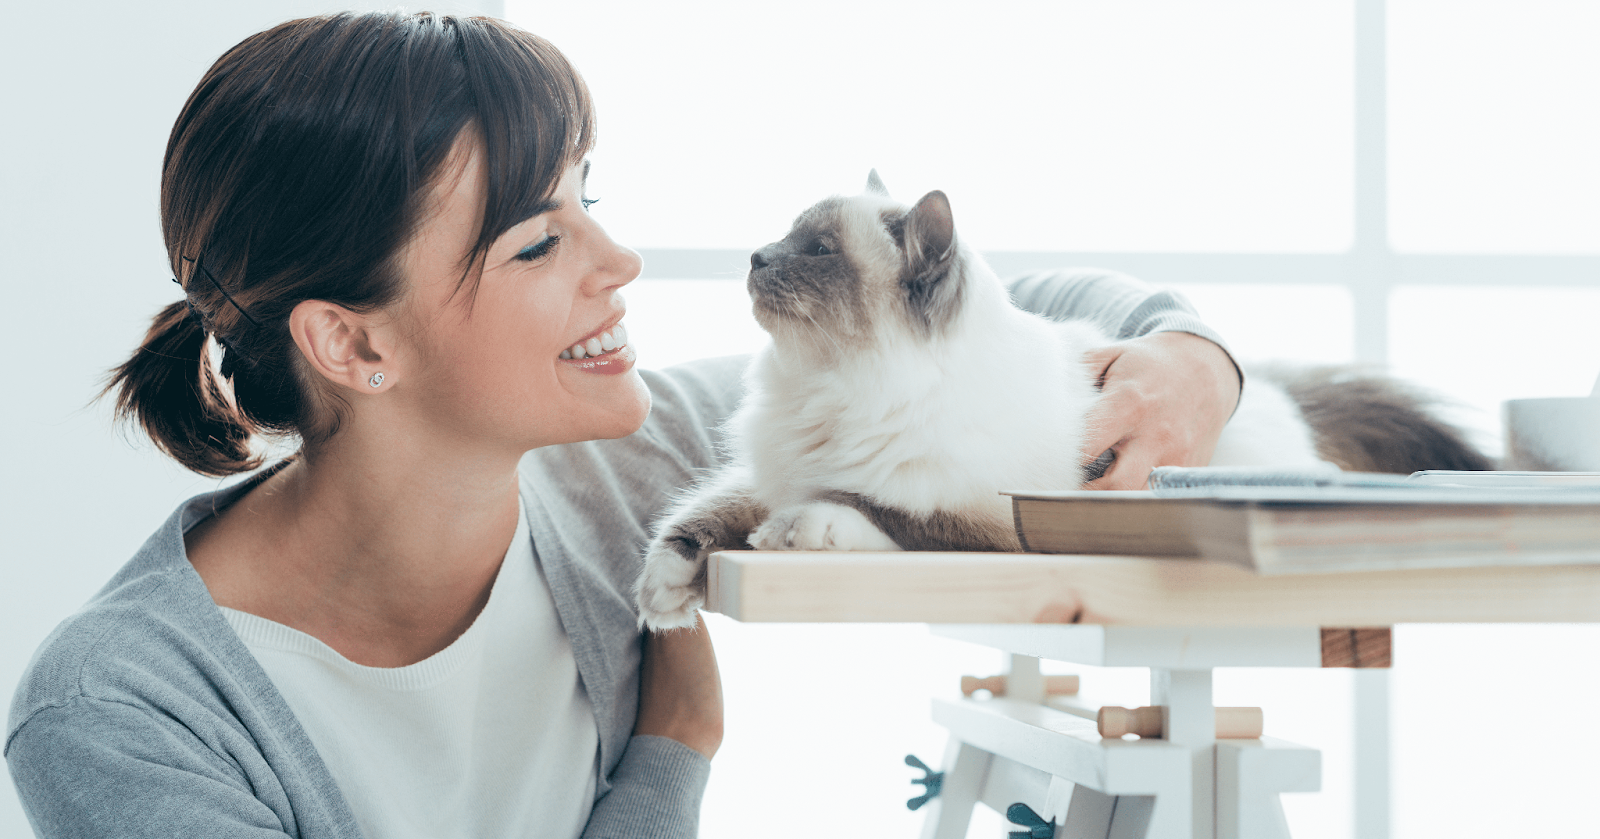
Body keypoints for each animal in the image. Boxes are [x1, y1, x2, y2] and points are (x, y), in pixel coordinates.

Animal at [633, 172, 1484, 627]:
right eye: (785, 237)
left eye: (815, 251)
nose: (755, 256)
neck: (829, 389)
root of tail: (1280, 397)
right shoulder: (768, 469)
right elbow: (702, 513)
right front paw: (665, 588)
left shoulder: (983, 527)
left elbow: (870, 510)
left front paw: (796, 529)